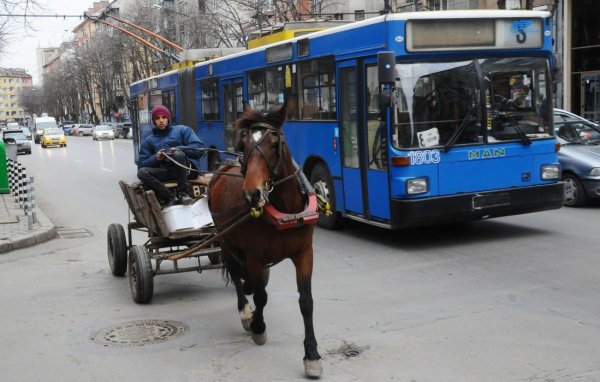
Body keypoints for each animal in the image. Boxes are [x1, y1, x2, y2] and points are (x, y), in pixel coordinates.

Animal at [210, 102, 326, 380]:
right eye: (243, 145)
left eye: (275, 144)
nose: (252, 194)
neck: (286, 209)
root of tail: (223, 167)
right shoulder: (255, 257)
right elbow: (261, 296)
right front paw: (257, 326)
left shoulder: (304, 254)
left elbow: (306, 301)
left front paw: (312, 354)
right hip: (225, 240)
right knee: (236, 273)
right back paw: (245, 312)